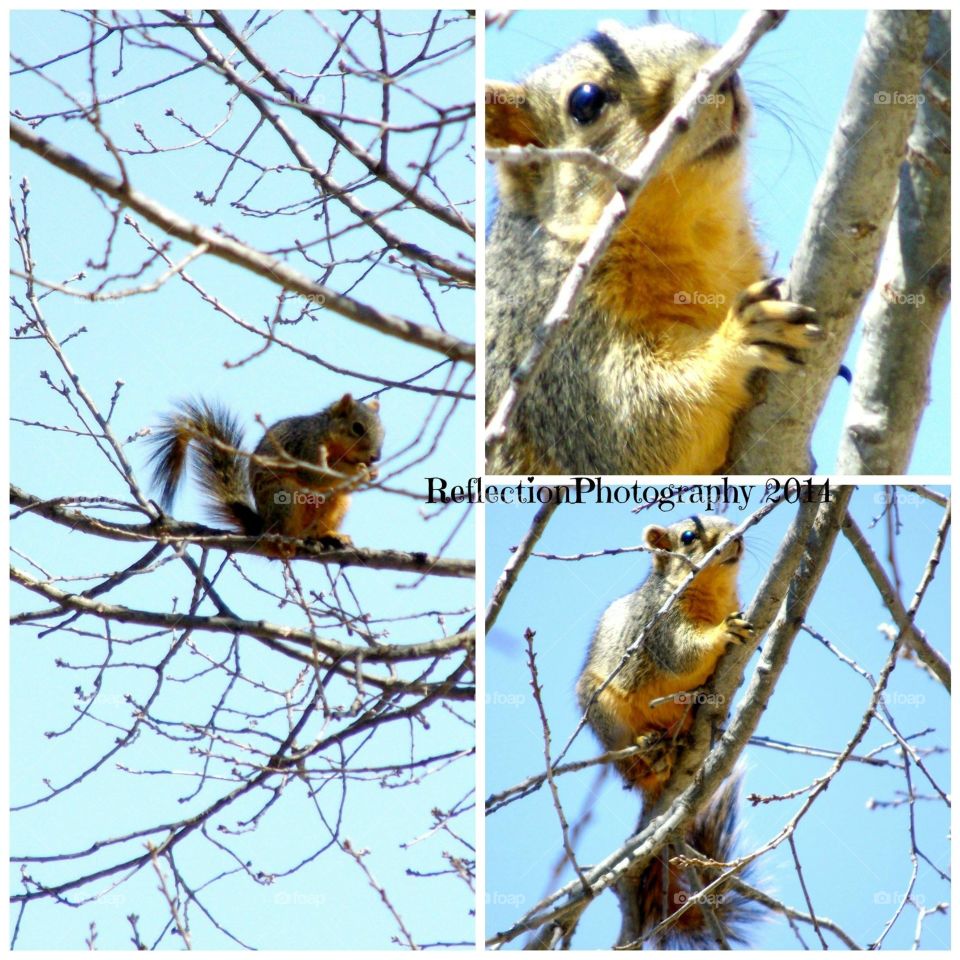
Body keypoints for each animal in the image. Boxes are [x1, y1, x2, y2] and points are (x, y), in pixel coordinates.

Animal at [148, 394, 383, 556]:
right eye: (357, 427)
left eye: (384, 431)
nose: (376, 457)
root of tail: (263, 528)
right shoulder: (307, 447)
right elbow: (314, 476)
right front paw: (358, 472)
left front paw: (372, 472)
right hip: (284, 496)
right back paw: (288, 541)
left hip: (339, 504)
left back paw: (328, 536)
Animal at [485, 21, 821, 474]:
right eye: (585, 101)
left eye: (674, 29)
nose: (725, 76)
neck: (695, 231)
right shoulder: (556, 346)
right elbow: (633, 430)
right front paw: (740, 336)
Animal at [576, 515, 756, 946]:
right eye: (688, 537)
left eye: (729, 518)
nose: (736, 536)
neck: (712, 593)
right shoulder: (659, 627)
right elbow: (683, 655)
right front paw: (722, 633)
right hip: (604, 713)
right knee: (634, 767)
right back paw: (651, 750)